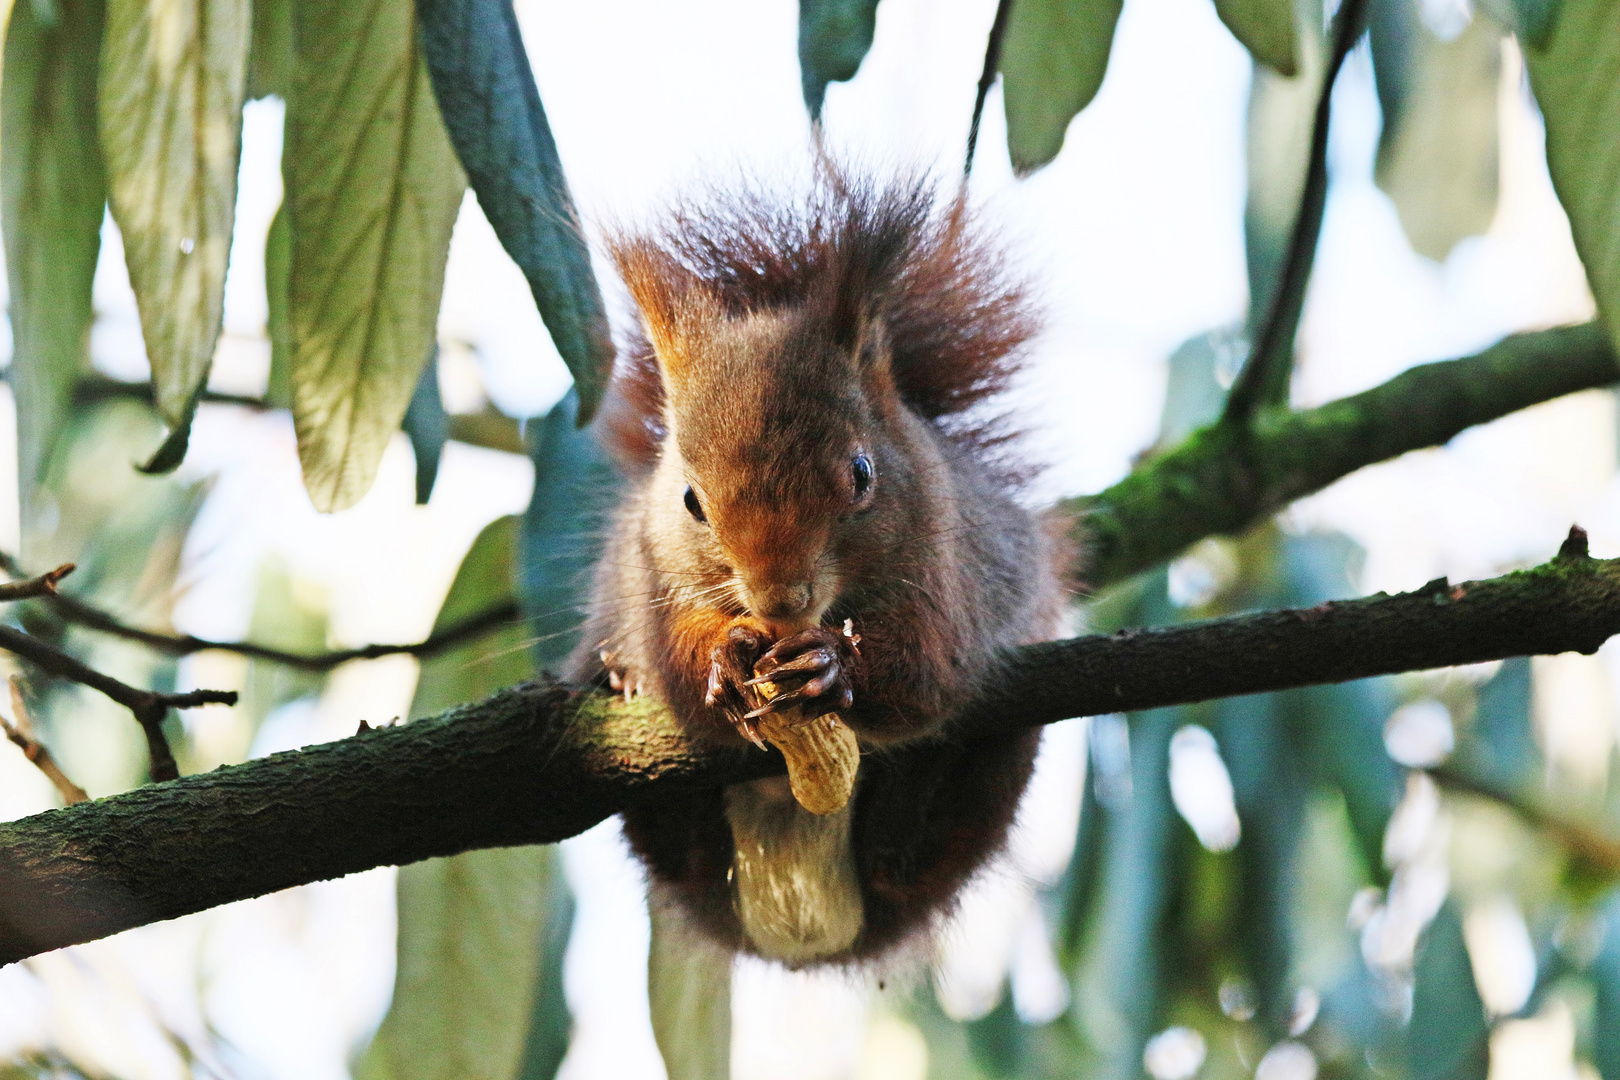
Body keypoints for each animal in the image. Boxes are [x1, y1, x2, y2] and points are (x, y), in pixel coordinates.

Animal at [573, 170, 1075, 971]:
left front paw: (832, 664)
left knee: (913, 852)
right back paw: (620, 679)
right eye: (689, 500)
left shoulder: (950, 575)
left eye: (862, 474)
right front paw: (721, 658)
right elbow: (681, 671)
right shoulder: (651, 577)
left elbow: (923, 673)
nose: (781, 601)